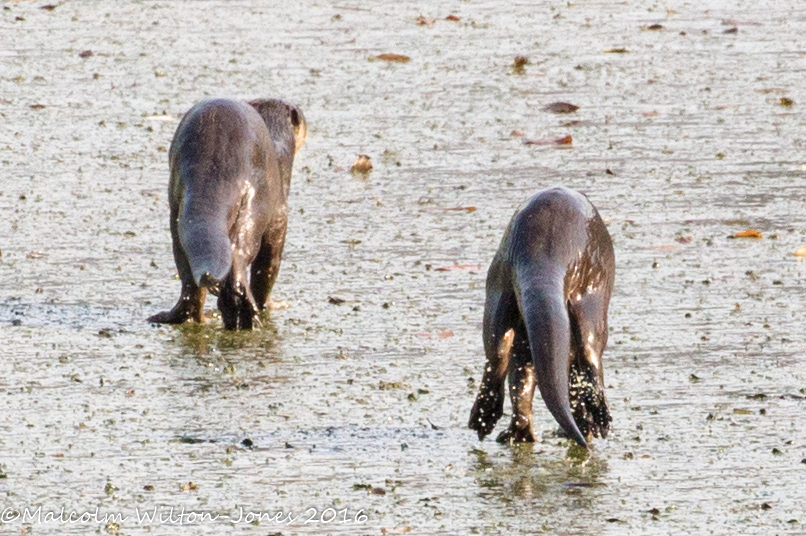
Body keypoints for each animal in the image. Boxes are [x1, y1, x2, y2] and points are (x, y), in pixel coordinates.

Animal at [147, 98, 308, 328]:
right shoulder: (280, 212)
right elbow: (269, 265)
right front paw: (272, 304)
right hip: (257, 201)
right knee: (240, 254)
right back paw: (247, 316)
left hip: (178, 205)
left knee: (188, 273)